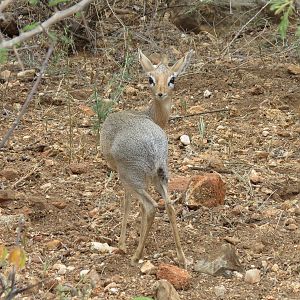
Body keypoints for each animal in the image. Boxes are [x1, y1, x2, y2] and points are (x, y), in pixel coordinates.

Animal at [100, 49, 192, 268]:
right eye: (151, 78)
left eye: (172, 78)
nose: (161, 92)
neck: (149, 115)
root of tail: (153, 146)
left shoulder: (125, 178)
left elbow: (127, 204)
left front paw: (123, 243)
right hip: (160, 176)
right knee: (169, 206)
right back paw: (181, 258)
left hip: (131, 178)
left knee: (151, 207)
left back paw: (136, 256)